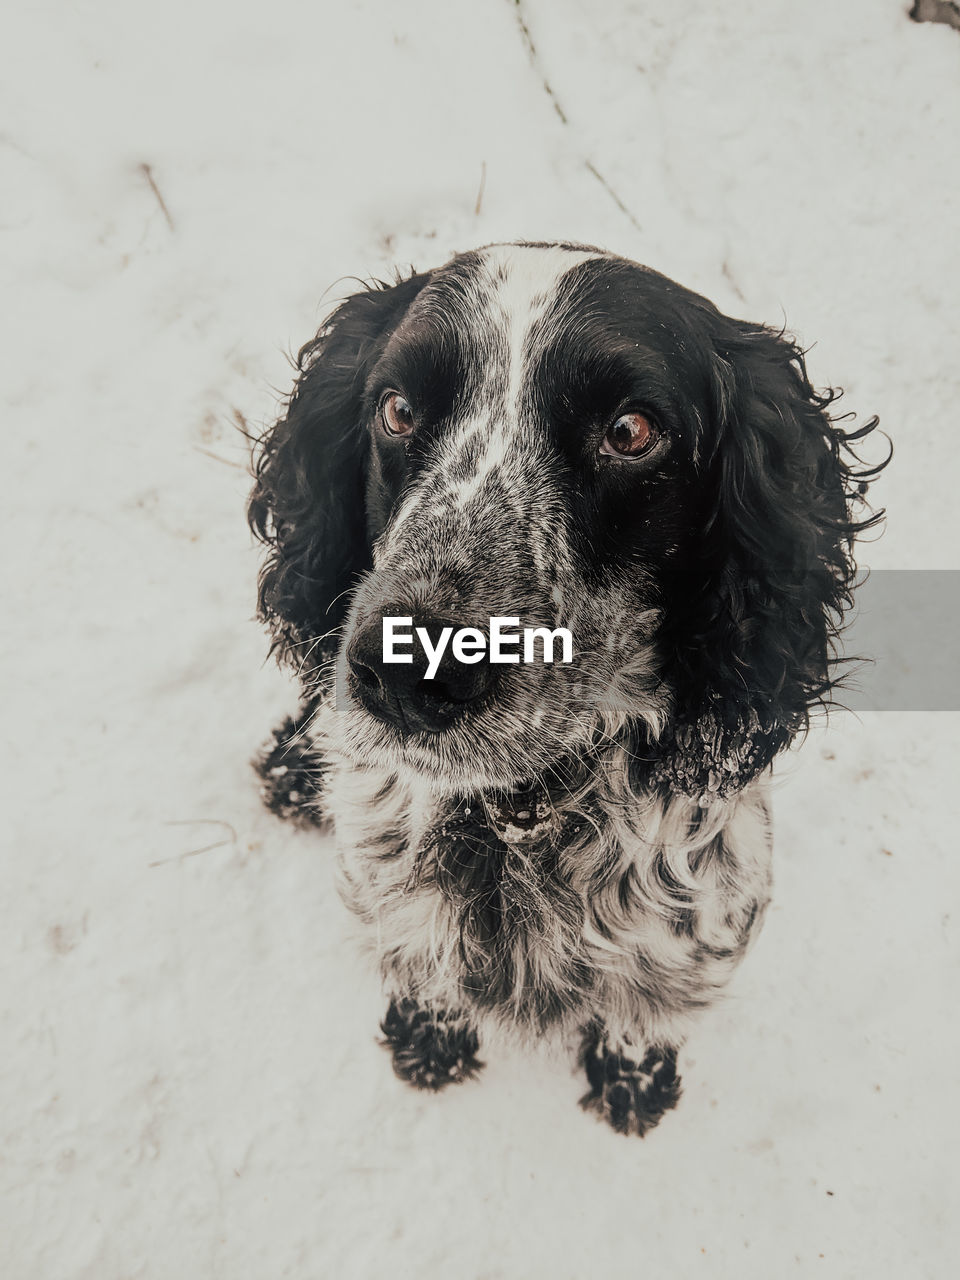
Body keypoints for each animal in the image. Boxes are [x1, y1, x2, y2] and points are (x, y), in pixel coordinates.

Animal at [249, 238, 885, 1131]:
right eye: (398, 410)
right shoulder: (389, 884)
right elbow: (417, 955)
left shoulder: (704, 923)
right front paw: (429, 1041)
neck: (521, 818)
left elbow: (647, 1005)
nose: (408, 669)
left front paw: (632, 1084)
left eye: (630, 431)